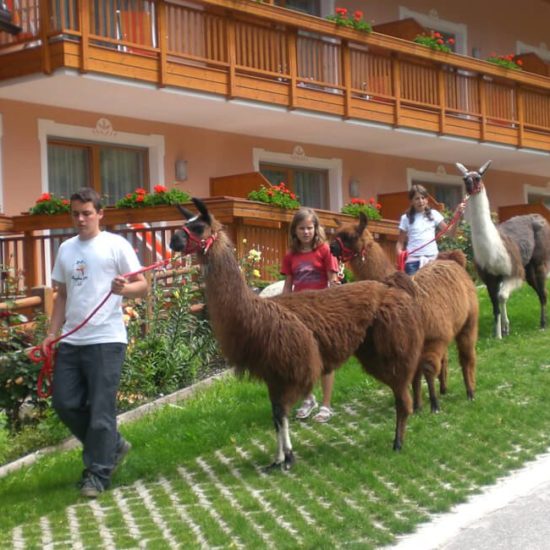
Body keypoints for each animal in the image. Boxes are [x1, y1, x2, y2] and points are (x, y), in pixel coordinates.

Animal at [170, 199, 425, 470]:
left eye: (197, 227)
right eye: (185, 223)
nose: (173, 240)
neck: (252, 313)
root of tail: (390, 285)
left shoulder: (291, 367)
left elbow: (281, 413)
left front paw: (287, 458)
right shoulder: (272, 372)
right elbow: (276, 415)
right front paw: (278, 458)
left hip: (393, 345)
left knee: (402, 395)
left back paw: (398, 442)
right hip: (371, 349)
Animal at [331, 213, 478, 412]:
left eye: (350, 236)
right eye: (336, 233)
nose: (331, 247)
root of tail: (453, 259)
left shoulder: (433, 338)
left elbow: (426, 370)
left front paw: (434, 405)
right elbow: (414, 375)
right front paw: (417, 406)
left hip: (469, 319)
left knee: (466, 356)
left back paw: (470, 392)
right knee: (447, 358)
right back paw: (444, 388)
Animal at [456, 161, 550, 338]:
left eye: (478, 178)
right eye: (465, 178)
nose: (469, 185)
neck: (491, 248)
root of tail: (538, 215)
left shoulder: (513, 270)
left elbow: (502, 296)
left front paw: (502, 330)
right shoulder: (490, 276)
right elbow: (495, 304)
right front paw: (499, 333)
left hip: (538, 260)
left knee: (542, 293)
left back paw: (542, 324)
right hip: (527, 267)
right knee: (536, 289)